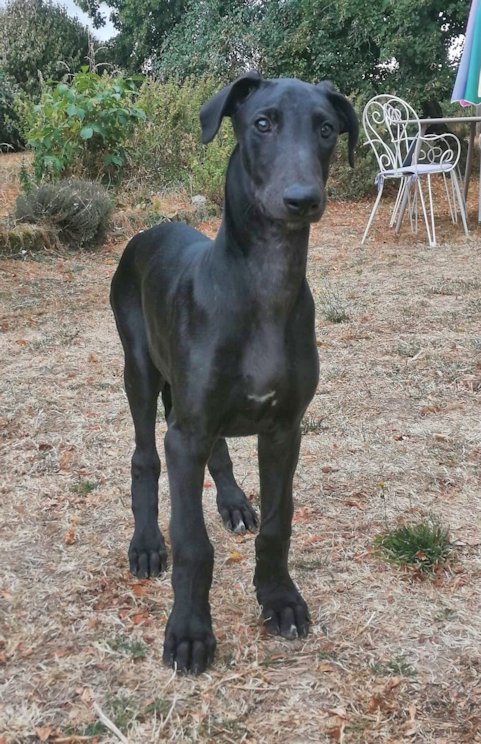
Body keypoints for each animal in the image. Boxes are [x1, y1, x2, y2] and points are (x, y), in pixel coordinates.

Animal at [110, 70, 358, 673]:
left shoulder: (284, 429)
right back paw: (146, 544)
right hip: (141, 371)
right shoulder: (186, 433)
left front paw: (280, 599)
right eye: (262, 123)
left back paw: (233, 502)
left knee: (217, 452)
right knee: (145, 457)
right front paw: (189, 632)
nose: (302, 200)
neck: (265, 282)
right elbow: (192, 543)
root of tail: (148, 232)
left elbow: (278, 522)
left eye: (326, 129)